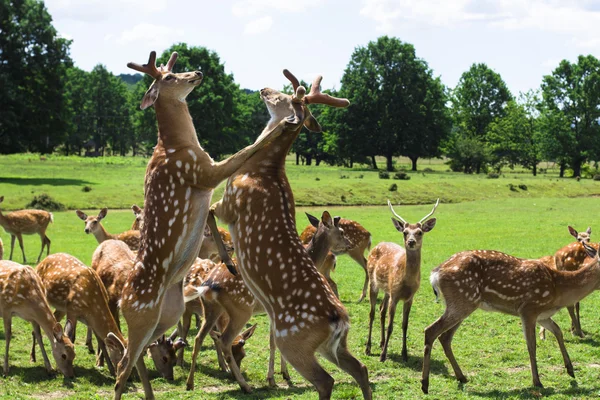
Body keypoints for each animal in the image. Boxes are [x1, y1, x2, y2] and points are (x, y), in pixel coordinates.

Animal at [105, 50, 286, 400]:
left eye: (173, 67)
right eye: (169, 77)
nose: (199, 72)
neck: (181, 146)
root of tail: (122, 299)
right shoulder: (203, 172)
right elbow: (245, 150)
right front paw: (284, 122)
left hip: (169, 314)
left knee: (136, 355)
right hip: (143, 315)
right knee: (121, 367)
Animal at [210, 70, 370, 398]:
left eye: (284, 96)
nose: (262, 89)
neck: (258, 168)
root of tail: (338, 321)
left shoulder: (228, 204)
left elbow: (208, 213)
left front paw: (229, 261)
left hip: (293, 339)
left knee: (326, 380)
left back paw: (247, 384)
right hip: (333, 346)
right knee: (361, 368)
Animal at [364, 200, 438, 362]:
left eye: (420, 232)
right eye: (405, 232)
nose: (411, 241)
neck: (407, 283)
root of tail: (377, 245)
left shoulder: (409, 298)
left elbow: (405, 324)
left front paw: (404, 353)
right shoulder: (395, 295)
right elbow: (391, 326)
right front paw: (383, 356)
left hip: (387, 290)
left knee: (381, 310)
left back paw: (381, 342)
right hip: (373, 282)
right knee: (372, 313)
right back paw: (368, 348)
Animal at [420, 242, 600, 392]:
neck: (558, 291)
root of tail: (434, 274)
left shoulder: (542, 315)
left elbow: (558, 331)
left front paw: (570, 370)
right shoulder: (528, 309)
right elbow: (531, 345)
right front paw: (537, 382)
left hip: (464, 303)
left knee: (445, 337)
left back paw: (461, 377)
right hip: (463, 300)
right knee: (430, 330)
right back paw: (425, 384)